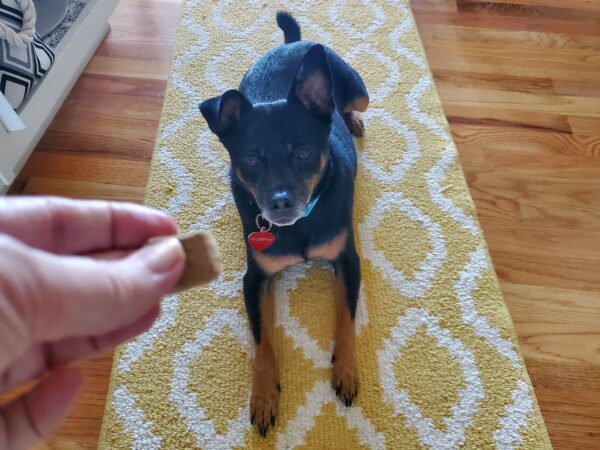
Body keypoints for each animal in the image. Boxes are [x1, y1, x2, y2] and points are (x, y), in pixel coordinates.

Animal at [199, 12, 368, 438]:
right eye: (251, 159)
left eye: (303, 153)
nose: (279, 202)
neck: (301, 224)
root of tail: (294, 43)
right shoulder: (255, 278)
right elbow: (262, 339)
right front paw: (263, 397)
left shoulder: (348, 261)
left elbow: (346, 319)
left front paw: (345, 371)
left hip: (359, 90)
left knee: (352, 105)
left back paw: (352, 119)